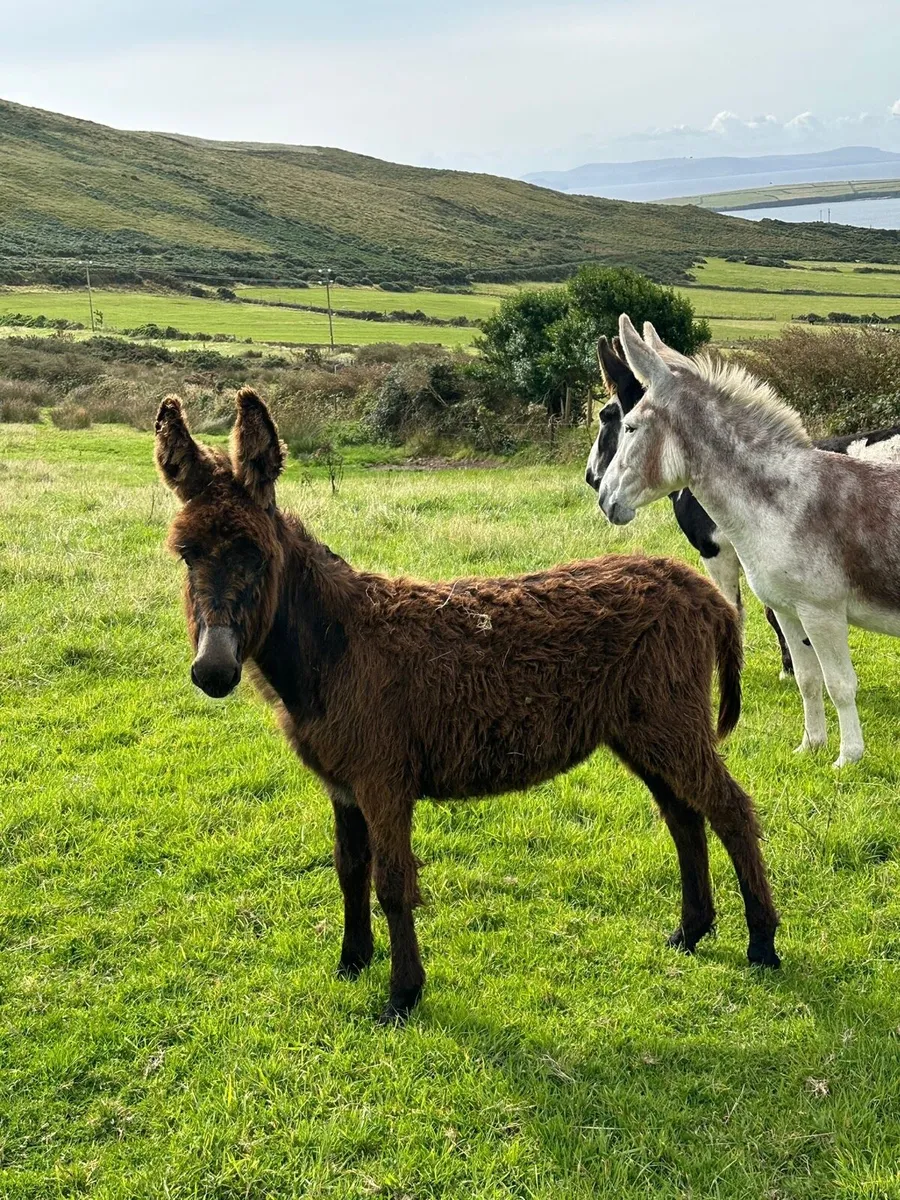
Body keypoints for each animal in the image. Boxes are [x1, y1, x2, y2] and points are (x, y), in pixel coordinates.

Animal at [155, 387, 780, 1023]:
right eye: (185, 556)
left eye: (255, 555)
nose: (212, 670)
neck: (335, 646)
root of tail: (697, 589)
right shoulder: (342, 783)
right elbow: (348, 870)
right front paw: (352, 962)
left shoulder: (383, 778)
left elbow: (391, 882)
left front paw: (402, 994)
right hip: (641, 731)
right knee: (684, 816)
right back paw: (692, 931)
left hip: (670, 723)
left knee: (730, 809)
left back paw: (762, 942)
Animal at [596, 314, 900, 767]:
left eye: (626, 424)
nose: (602, 497)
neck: (784, 501)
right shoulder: (790, 609)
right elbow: (808, 679)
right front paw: (811, 745)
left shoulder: (822, 611)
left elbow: (840, 683)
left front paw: (848, 758)